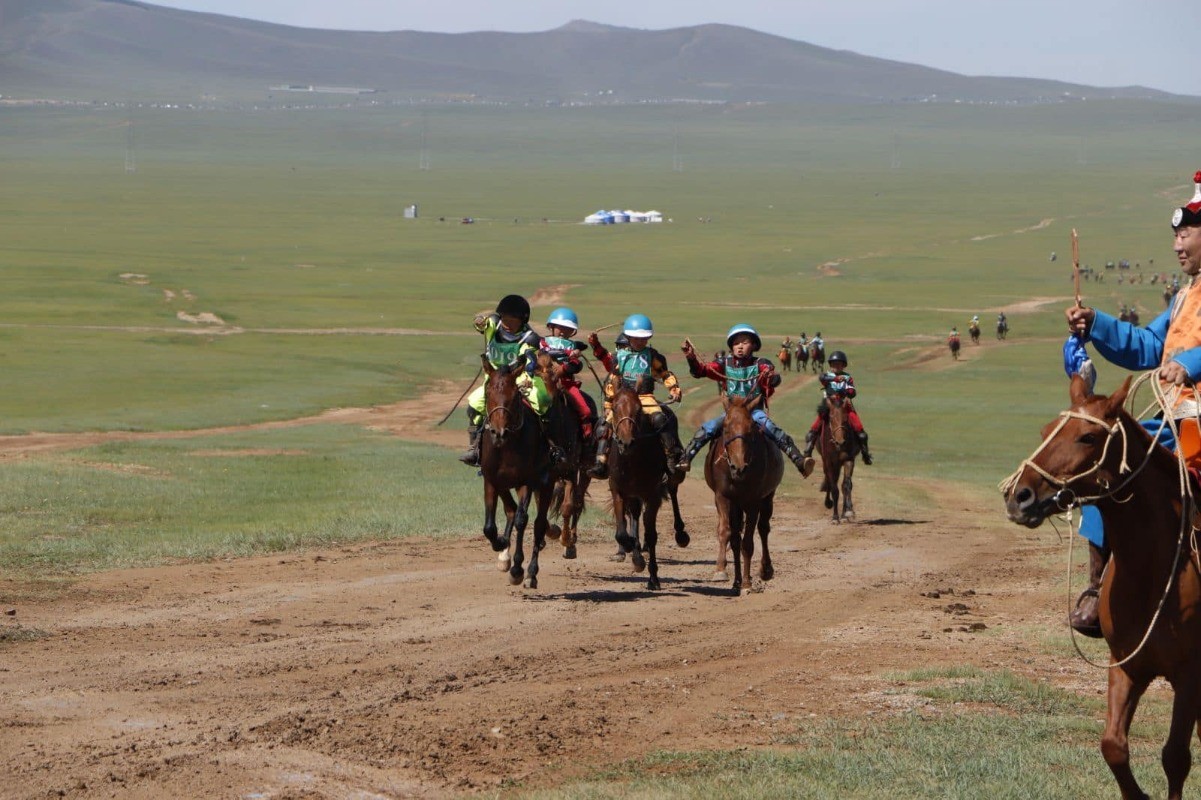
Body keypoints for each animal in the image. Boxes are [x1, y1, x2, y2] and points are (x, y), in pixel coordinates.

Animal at [475, 355, 554, 586]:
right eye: (488, 392)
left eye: (514, 396)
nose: (498, 433)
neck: (507, 447)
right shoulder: (492, 481)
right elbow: (489, 527)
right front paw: (500, 544)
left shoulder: (527, 482)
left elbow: (522, 520)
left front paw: (518, 569)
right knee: (510, 509)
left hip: (547, 483)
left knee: (537, 524)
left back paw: (530, 573)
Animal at [610, 384, 686, 588]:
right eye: (614, 409)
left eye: (638, 410)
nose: (626, 442)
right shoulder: (619, 491)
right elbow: (622, 532)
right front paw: (633, 554)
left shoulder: (652, 495)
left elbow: (651, 535)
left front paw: (653, 578)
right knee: (635, 515)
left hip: (672, 476)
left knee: (673, 493)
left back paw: (681, 534)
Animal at [701, 391, 783, 590]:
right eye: (725, 428)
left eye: (750, 429)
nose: (739, 467)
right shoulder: (723, 497)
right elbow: (726, 532)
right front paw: (720, 570)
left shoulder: (753, 502)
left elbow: (748, 542)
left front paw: (747, 583)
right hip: (736, 506)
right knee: (736, 537)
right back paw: (736, 580)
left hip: (767, 498)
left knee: (763, 528)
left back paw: (763, 570)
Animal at [821, 393, 859, 521]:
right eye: (831, 419)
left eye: (845, 419)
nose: (840, 442)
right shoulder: (829, 462)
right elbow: (834, 488)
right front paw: (835, 517)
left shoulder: (848, 460)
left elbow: (846, 486)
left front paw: (847, 513)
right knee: (829, 480)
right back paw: (828, 503)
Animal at [1004, 374, 1201, 797]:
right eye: (1046, 431)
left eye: (1088, 437)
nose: (1018, 496)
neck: (1152, 570)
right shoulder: (1126, 665)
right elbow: (1113, 746)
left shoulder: (1190, 674)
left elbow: (1176, 757)